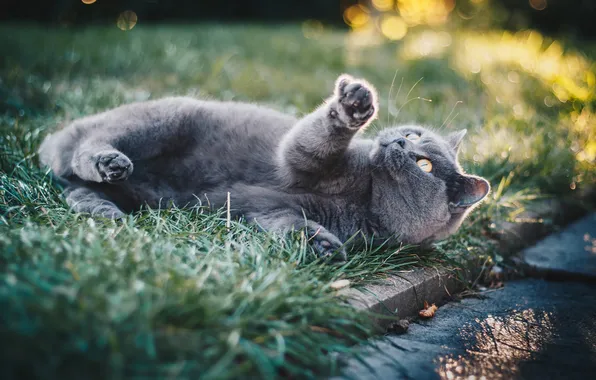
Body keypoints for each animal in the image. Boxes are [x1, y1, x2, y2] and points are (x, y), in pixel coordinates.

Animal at [40, 74, 488, 262]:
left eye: (425, 164)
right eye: (413, 134)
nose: (396, 141)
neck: (366, 197)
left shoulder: (273, 211)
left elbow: (288, 224)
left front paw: (323, 247)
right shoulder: (298, 160)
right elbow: (310, 141)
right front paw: (353, 105)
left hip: (143, 194)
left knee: (74, 189)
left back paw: (105, 210)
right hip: (162, 120)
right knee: (84, 149)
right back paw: (108, 162)